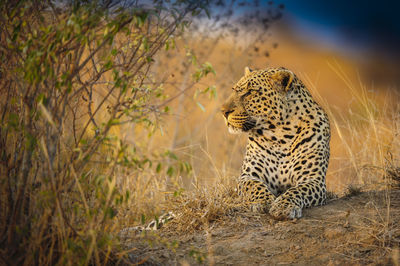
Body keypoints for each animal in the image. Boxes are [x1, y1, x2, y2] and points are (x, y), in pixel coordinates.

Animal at [220, 65, 330, 219]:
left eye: (250, 92)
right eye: (234, 90)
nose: (223, 111)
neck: (280, 136)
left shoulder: (313, 179)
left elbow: (296, 191)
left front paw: (283, 206)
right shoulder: (248, 176)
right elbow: (255, 186)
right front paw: (264, 201)